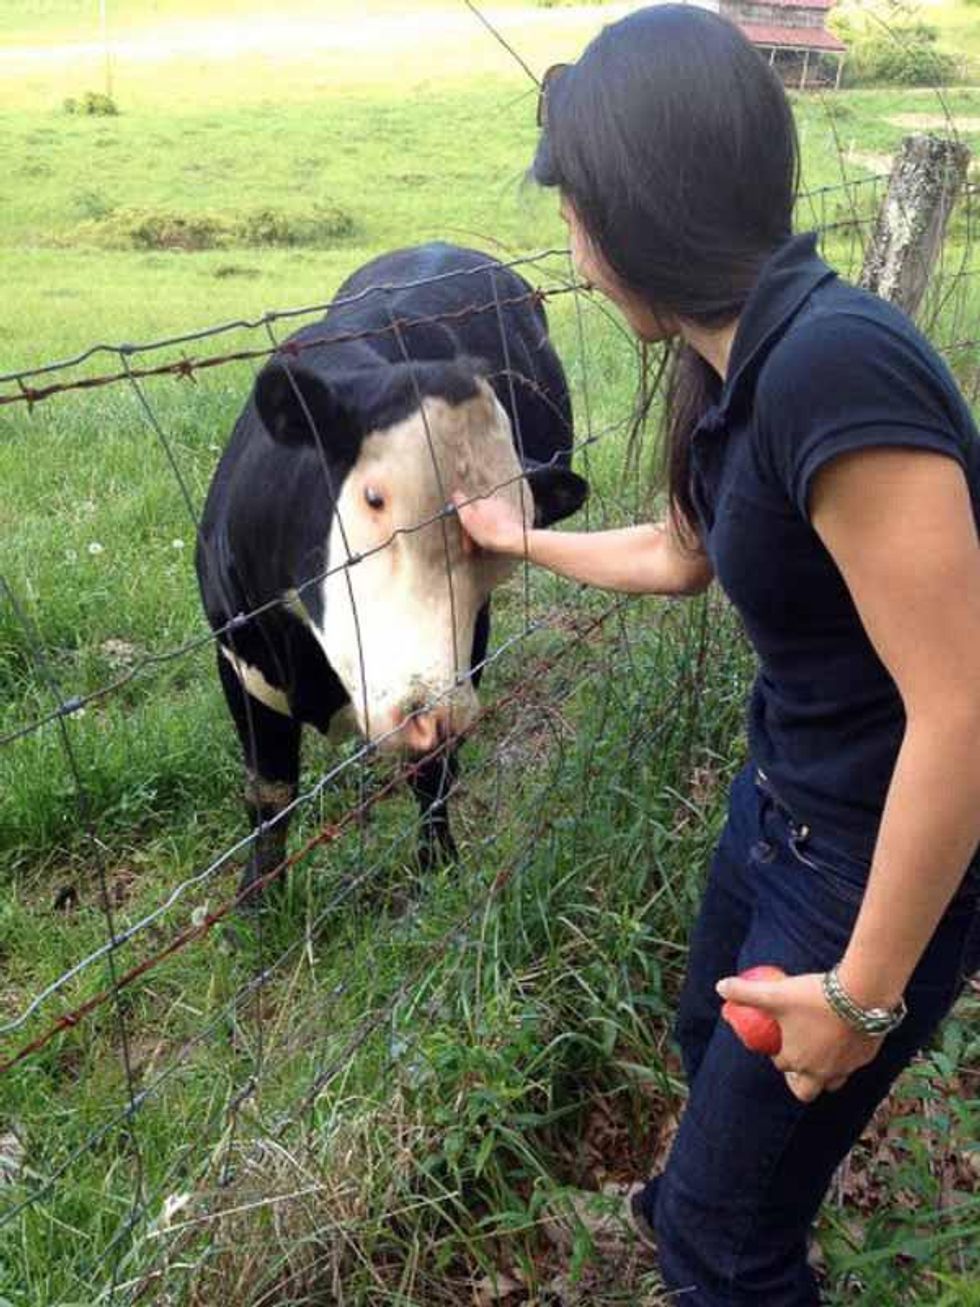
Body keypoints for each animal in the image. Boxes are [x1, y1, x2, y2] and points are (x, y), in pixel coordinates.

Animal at [195, 242, 587, 899]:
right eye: (375, 498)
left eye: (504, 545)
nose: (431, 715)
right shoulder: (239, 658)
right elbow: (269, 794)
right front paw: (257, 900)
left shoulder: (465, 648)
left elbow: (432, 771)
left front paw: (437, 865)